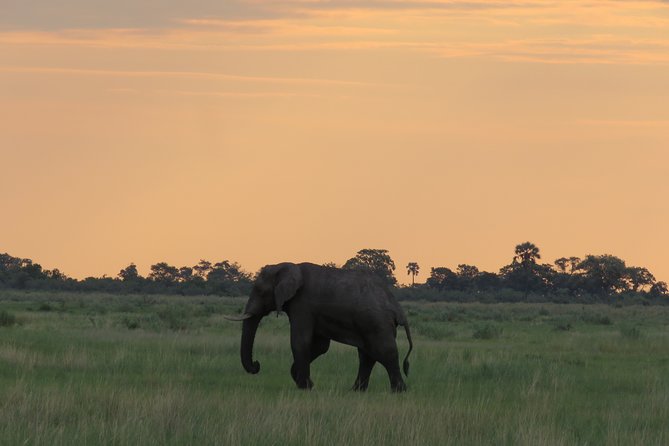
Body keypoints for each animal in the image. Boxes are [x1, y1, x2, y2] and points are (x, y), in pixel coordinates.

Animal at [224, 264, 412, 392]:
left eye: (261, 291)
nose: (256, 365)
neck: (289, 266)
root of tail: (398, 308)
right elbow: (320, 346)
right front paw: (306, 383)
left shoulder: (302, 304)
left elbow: (300, 341)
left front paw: (305, 386)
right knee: (367, 355)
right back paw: (356, 391)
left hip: (377, 323)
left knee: (384, 352)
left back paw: (399, 391)